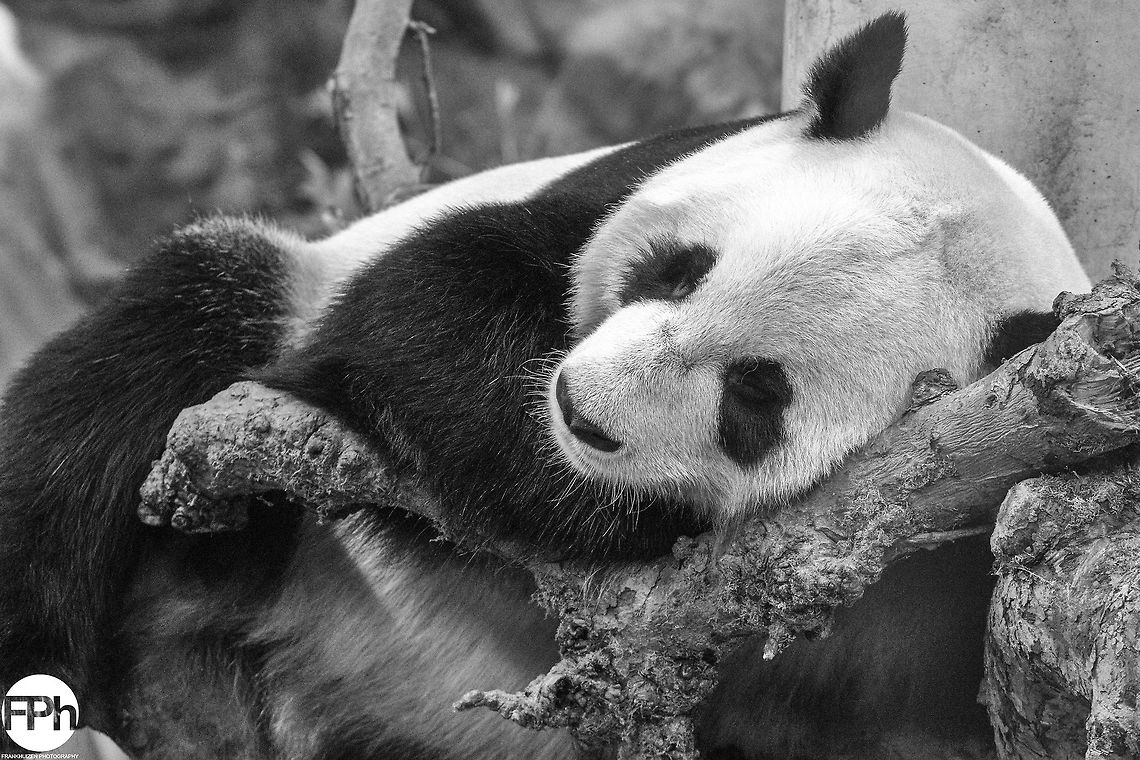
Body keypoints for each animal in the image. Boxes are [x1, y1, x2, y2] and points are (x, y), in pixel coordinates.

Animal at [0, 12, 1089, 760]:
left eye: (757, 395)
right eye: (676, 270)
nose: (583, 418)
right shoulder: (610, 184)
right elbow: (430, 301)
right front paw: (567, 490)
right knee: (141, 363)